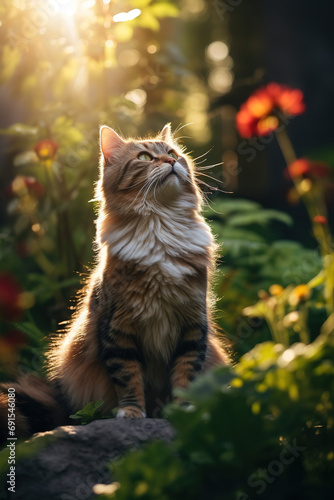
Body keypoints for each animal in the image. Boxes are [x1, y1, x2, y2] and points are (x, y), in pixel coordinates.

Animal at [0, 124, 230, 442]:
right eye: (145, 157)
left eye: (173, 153)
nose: (172, 162)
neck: (159, 228)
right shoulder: (118, 327)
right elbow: (128, 377)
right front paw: (132, 413)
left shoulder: (192, 324)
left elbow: (186, 375)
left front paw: (184, 411)